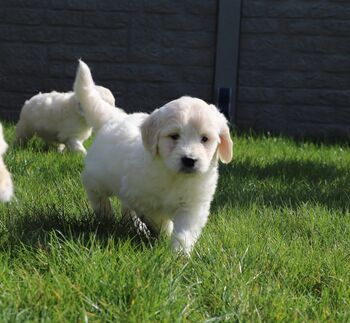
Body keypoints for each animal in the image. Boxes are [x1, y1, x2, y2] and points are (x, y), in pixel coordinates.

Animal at [74, 60, 232, 256]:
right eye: (174, 136)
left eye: (205, 139)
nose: (189, 160)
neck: (173, 176)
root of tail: (115, 118)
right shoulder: (142, 198)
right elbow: (158, 218)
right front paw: (165, 232)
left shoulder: (193, 205)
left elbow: (185, 230)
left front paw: (180, 254)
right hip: (98, 176)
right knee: (95, 191)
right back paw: (105, 214)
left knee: (126, 208)